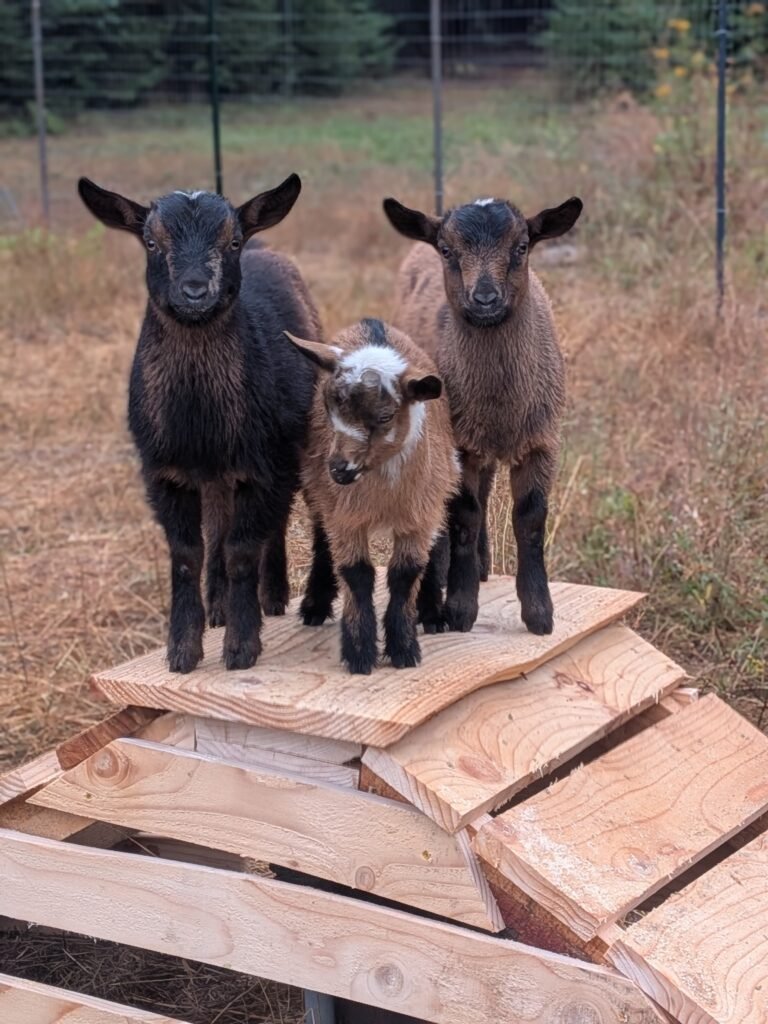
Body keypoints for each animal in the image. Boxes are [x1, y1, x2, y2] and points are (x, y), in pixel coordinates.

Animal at [78, 174, 323, 672]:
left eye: (232, 241)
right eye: (151, 242)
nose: (194, 291)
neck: (199, 420)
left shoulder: (263, 464)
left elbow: (243, 549)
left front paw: (241, 646)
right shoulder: (165, 473)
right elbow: (188, 554)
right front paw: (183, 649)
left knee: (280, 519)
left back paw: (274, 596)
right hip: (215, 478)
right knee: (220, 527)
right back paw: (220, 606)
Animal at [287, 318, 460, 674]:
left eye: (384, 417)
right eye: (327, 408)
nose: (339, 469)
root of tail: (371, 322)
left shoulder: (419, 515)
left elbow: (406, 573)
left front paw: (404, 649)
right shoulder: (345, 517)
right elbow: (357, 575)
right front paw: (359, 652)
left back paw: (432, 613)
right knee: (321, 539)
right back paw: (315, 605)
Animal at [383, 193, 583, 636]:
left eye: (522, 247)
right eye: (446, 250)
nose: (486, 300)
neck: (501, 401)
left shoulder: (542, 440)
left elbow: (530, 518)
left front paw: (539, 613)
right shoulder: (462, 441)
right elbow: (465, 515)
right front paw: (459, 608)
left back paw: (483, 564)